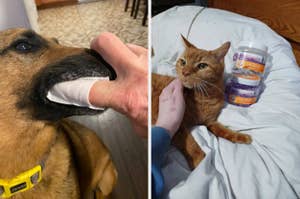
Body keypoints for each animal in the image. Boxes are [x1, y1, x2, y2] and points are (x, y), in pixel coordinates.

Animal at [151, 35, 252, 169]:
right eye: (183, 62)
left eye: (202, 66)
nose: (185, 72)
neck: (204, 97)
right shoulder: (180, 125)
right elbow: (190, 143)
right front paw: (199, 162)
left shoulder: (210, 122)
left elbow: (223, 130)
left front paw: (240, 136)